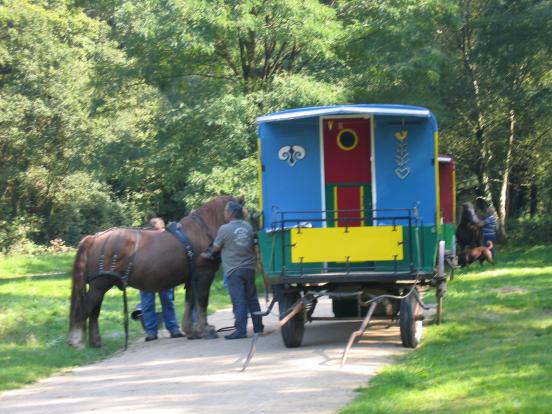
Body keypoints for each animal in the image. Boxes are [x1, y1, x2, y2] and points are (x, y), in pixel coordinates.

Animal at [67, 196, 237, 348]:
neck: (201, 231)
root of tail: (94, 238)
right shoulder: (203, 275)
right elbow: (202, 302)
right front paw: (206, 329)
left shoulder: (192, 279)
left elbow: (191, 302)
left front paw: (191, 330)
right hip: (100, 285)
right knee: (85, 310)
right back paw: (77, 341)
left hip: (99, 286)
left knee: (94, 312)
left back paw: (96, 342)